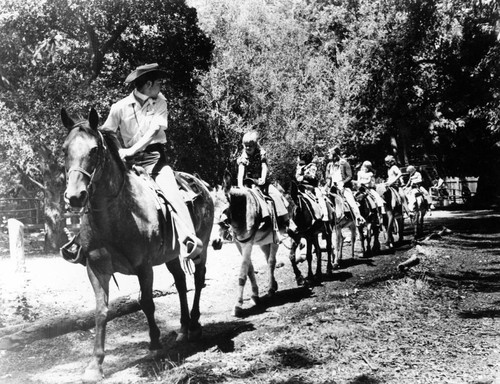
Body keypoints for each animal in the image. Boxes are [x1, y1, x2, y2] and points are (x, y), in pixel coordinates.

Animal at [60, 108, 213, 380]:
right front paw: (95, 365)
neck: (115, 214)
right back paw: (183, 329)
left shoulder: (144, 266)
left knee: (197, 279)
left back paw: (195, 326)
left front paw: (155, 345)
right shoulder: (96, 269)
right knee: (181, 283)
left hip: (201, 246)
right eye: (65, 149)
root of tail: (202, 185)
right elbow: (101, 311)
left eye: (95, 150)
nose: (75, 196)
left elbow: (147, 303)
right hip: (172, 255)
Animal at [220, 172, 286, 316]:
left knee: (271, 261)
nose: (216, 242)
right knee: (268, 259)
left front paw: (238, 305)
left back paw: (270, 290)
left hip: (276, 238)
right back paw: (273, 285)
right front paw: (255, 295)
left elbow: (242, 274)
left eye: (225, 210)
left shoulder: (247, 244)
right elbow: (249, 270)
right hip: (263, 242)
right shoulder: (239, 244)